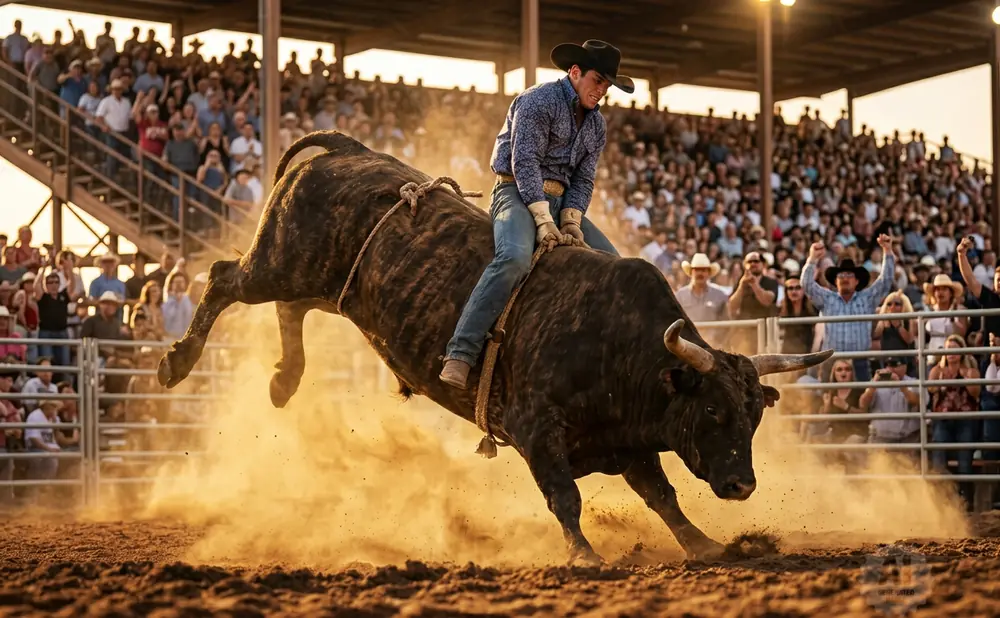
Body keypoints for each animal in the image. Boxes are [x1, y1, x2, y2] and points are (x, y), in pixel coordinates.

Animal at [156, 131, 833, 564]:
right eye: (713, 410)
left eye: (755, 414)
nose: (742, 486)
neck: (620, 346)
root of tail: (351, 151)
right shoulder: (536, 429)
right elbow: (565, 496)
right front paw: (585, 555)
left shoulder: (630, 442)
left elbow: (662, 496)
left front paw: (706, 545)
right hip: (280, 259)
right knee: (224, 278)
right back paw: (175, 364)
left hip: (324, 285)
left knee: (289, 309)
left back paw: (283, 380)